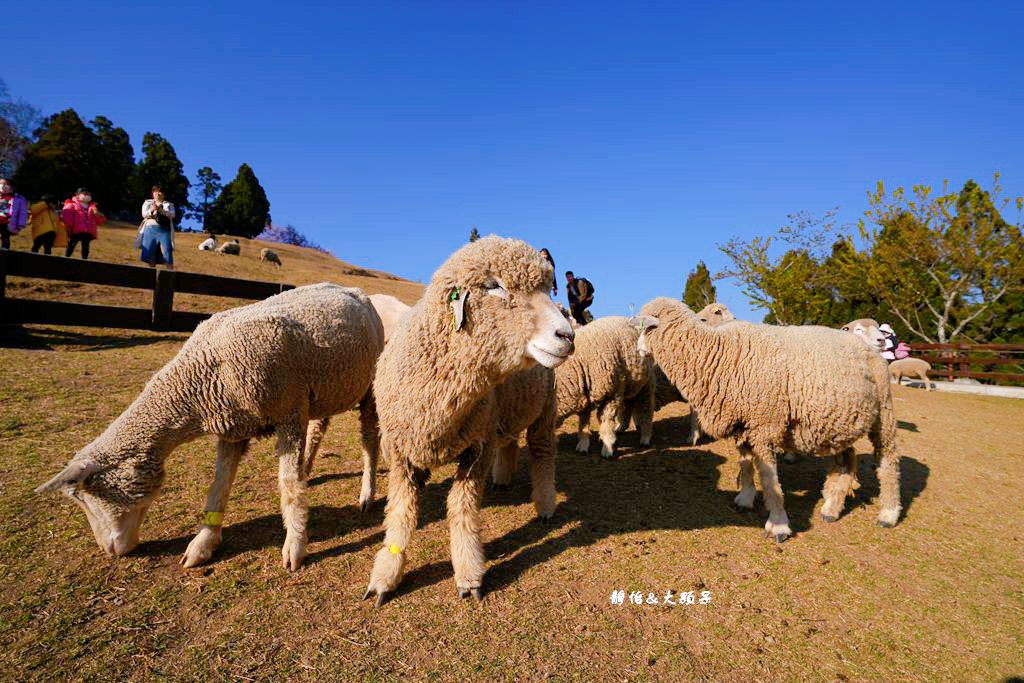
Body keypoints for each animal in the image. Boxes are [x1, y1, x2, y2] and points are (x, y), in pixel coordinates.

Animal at [35, 282, 385, 573]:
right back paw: (309, 468)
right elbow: (219, 486)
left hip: (369, 390)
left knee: (369, 441)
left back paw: (366, 493)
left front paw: (295, 546)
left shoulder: (290, 413)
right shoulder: (234, 427)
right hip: (324, 391)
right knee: (318, 430)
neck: (201, 378)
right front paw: (203, 543)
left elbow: (288, 486)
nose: (109, 550)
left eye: (85, 497)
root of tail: (355, 291)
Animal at [552, 317, 655, 458]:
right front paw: (583, 445)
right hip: (629, 387)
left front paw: (607, 449)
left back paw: (645, 437)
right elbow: (583, 424)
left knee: (646, 410)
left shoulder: (611, 395)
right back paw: (621, 428)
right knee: (628, 407)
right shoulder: (584, 397)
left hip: (645, 385)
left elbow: (605, 424)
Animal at [638, 296, 905, 540]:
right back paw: (831, 507)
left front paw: (778, 524)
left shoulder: (764, 424)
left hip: (884, 413)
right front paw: (745, 498)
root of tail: (870, 348)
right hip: (839, 422)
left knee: (888, 462)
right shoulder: (745, 426)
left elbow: (769, 479)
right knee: (846, 461)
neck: (718, 353)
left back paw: (889, 513)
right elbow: (746, 465)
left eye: (643, 326)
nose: (639, 350)